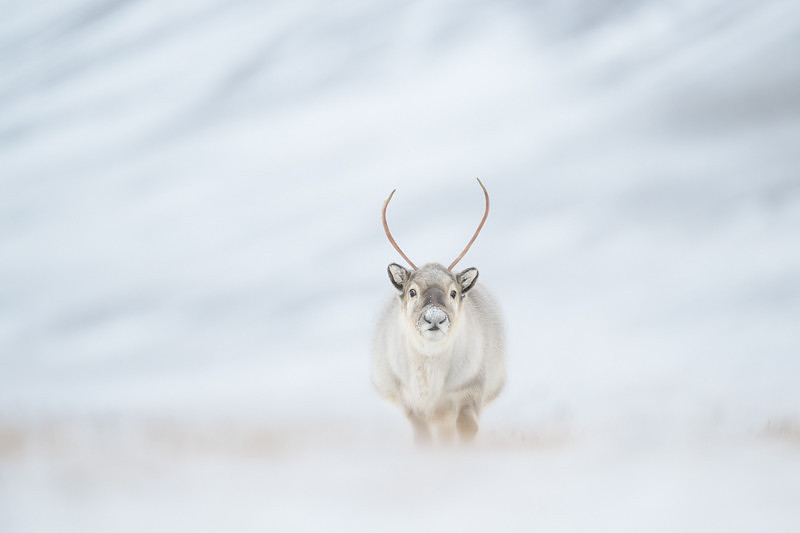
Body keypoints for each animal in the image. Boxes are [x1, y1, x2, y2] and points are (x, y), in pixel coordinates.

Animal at [371, 179, 506, 445]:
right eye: (412, 291)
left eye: (453, 292)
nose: (435, 318)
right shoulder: (409, 402)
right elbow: (422, 438)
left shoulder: (470, 391)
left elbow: (467, 428)